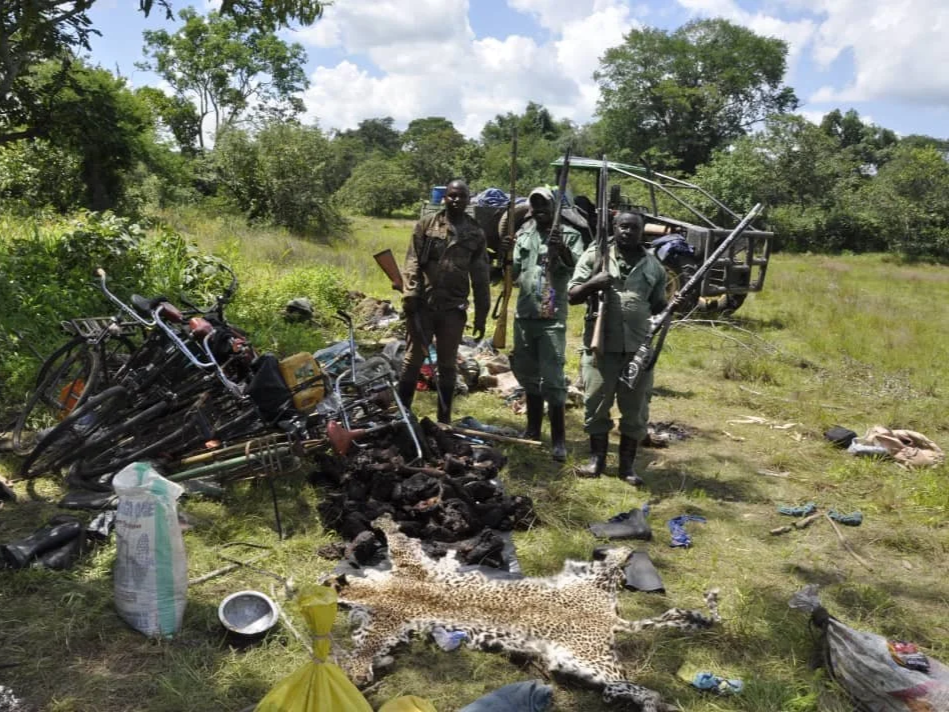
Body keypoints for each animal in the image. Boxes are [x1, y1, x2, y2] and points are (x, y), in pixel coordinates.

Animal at [329, 514, 720, 712]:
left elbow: (397, 540)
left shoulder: (405, 573)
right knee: (616, 563)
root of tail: (608, 618)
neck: (384, 587)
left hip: (587, 658)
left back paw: (648, 702)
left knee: (636, 686)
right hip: (584, 610)